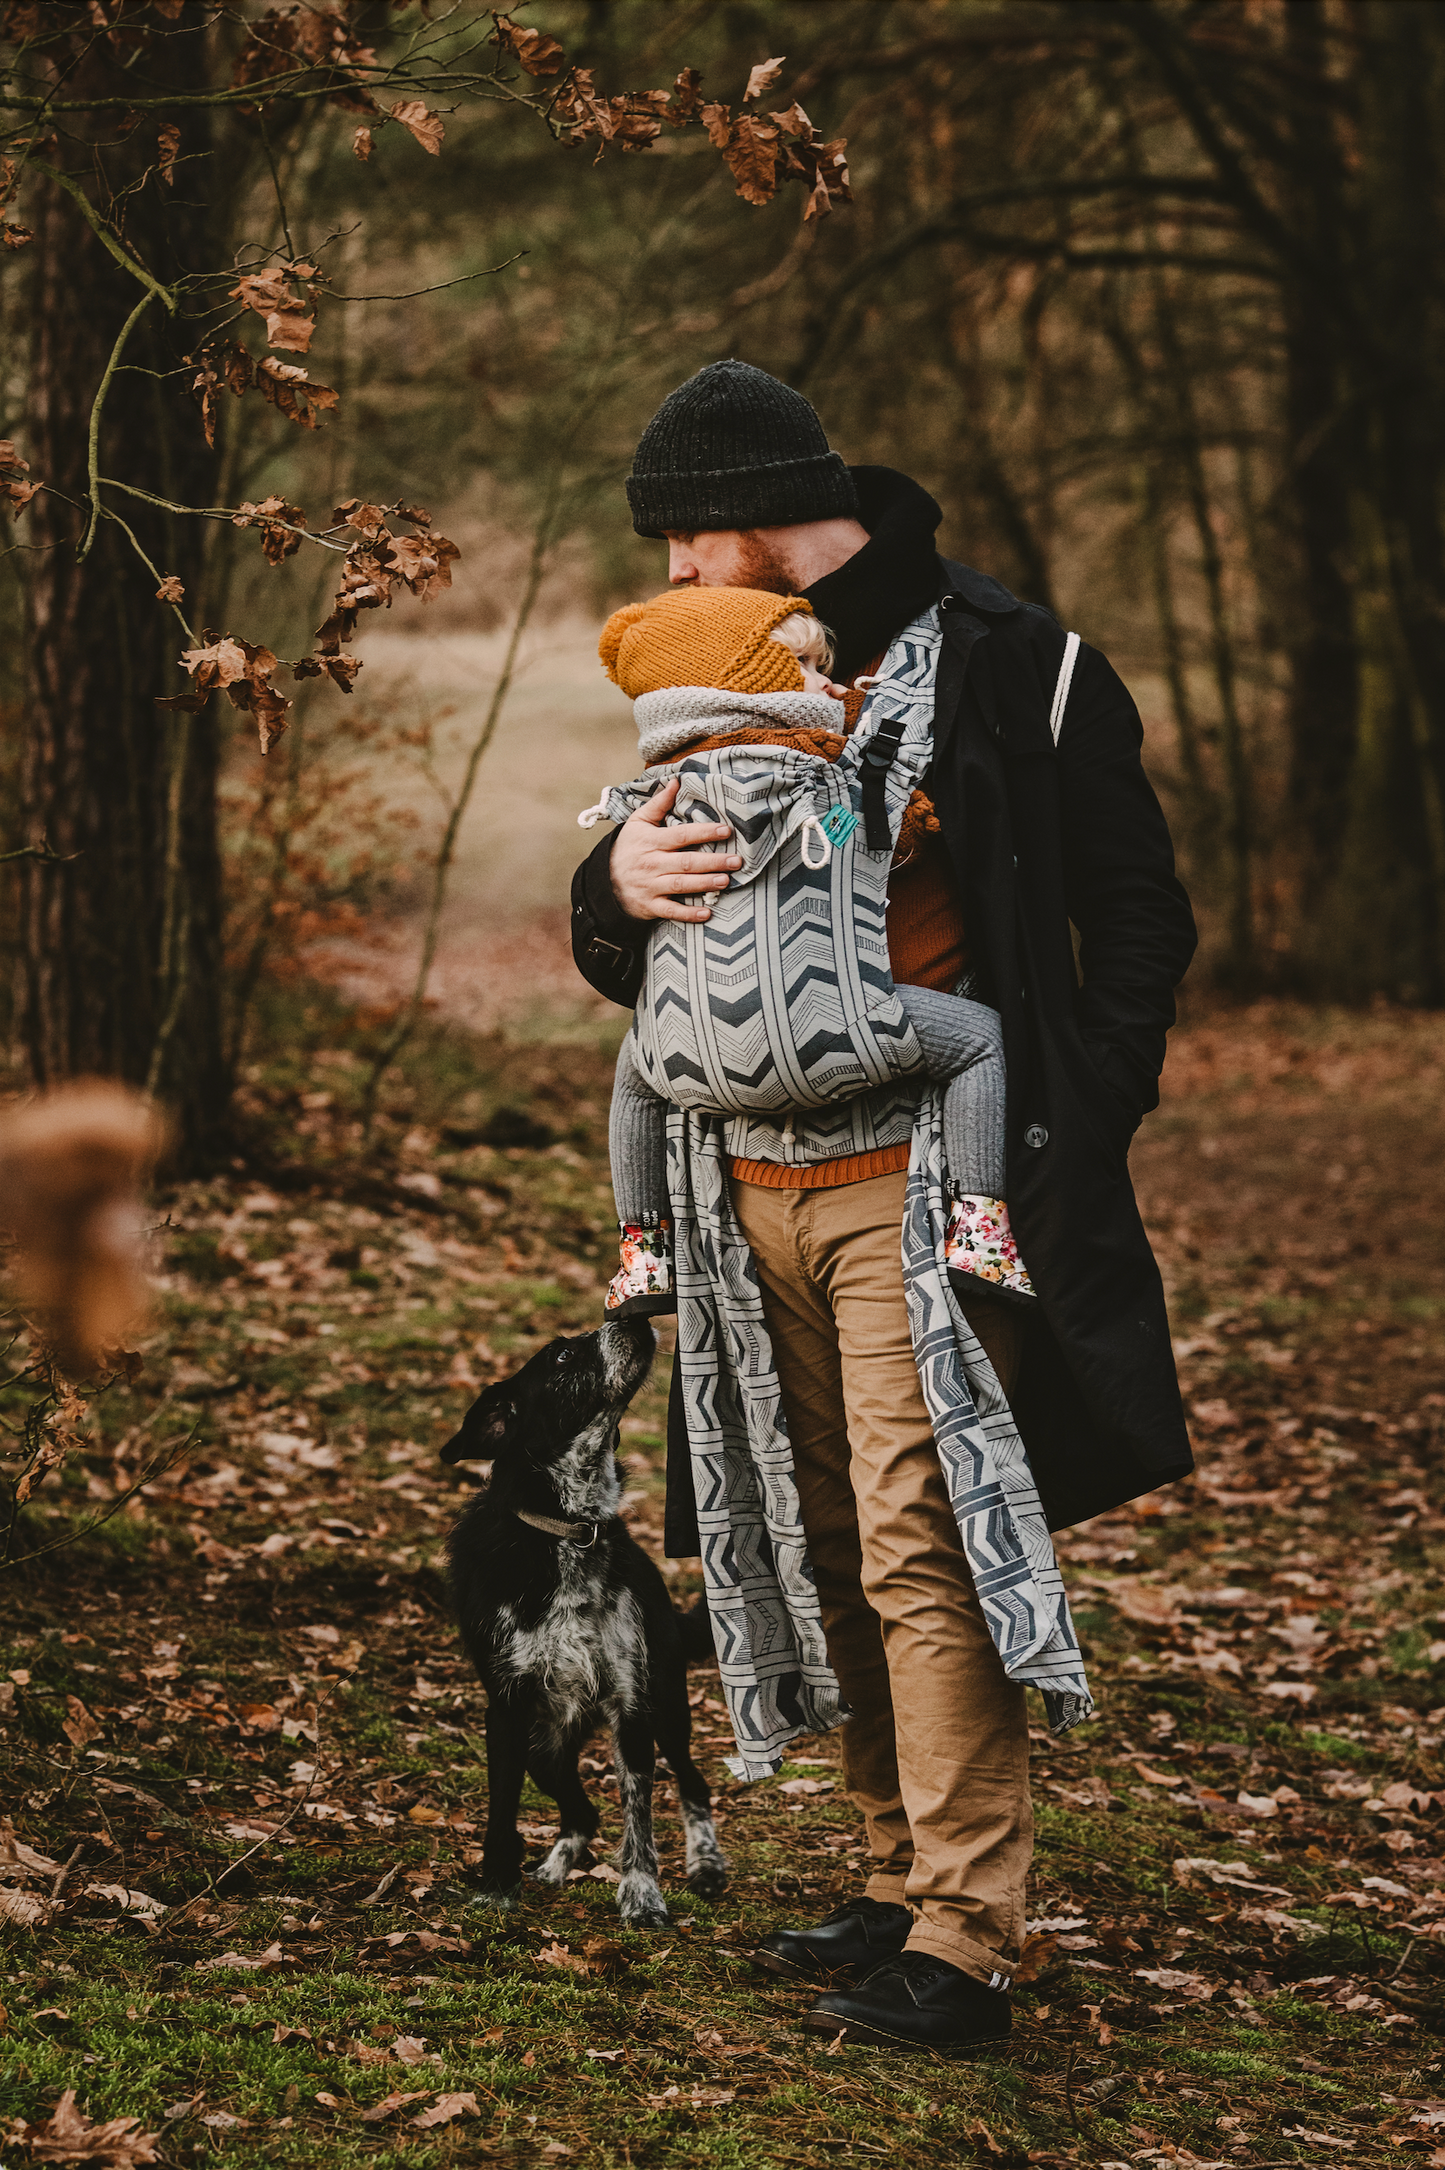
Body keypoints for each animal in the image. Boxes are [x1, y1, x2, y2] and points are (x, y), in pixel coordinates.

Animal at [438, 1310, 724, 1926]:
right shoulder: (507, 1708)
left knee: (693, 1783)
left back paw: (706, 1864)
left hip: (668, 1708)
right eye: (562, 1357)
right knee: (582, 1811)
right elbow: (502, 1808)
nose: (635, 1318)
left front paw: (642, 1896)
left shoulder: (632, 1703)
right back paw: (552, 1867)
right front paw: (496, 1885)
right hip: (546, 1748)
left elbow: (638, 1814)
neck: (570, 1528)